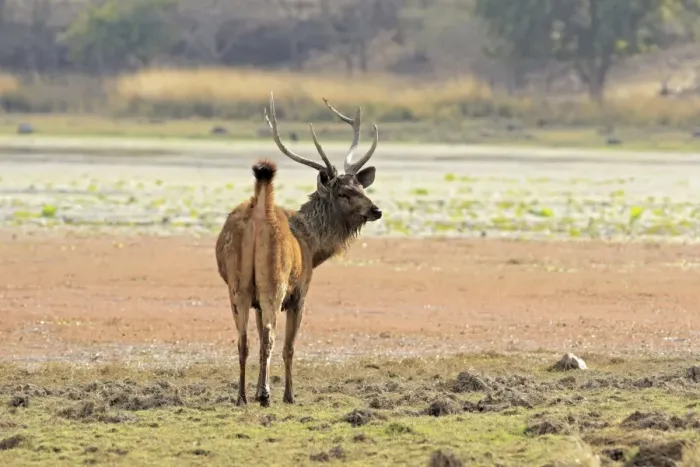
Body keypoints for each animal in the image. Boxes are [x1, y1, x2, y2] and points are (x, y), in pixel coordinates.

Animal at [215, 92, 382, 407]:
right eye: (343, 193)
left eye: (362, 188)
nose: (376, 210)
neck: (313, 246)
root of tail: (260, 213)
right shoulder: (300, 292)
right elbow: (289, 346)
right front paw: (289, 394)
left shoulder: (255, 300)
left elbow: (257, 337)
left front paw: (260, 389)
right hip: (274, 280)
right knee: (270, 337)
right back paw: (266, 396)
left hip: (238, 284)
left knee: (243, 340)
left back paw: (242, 396)